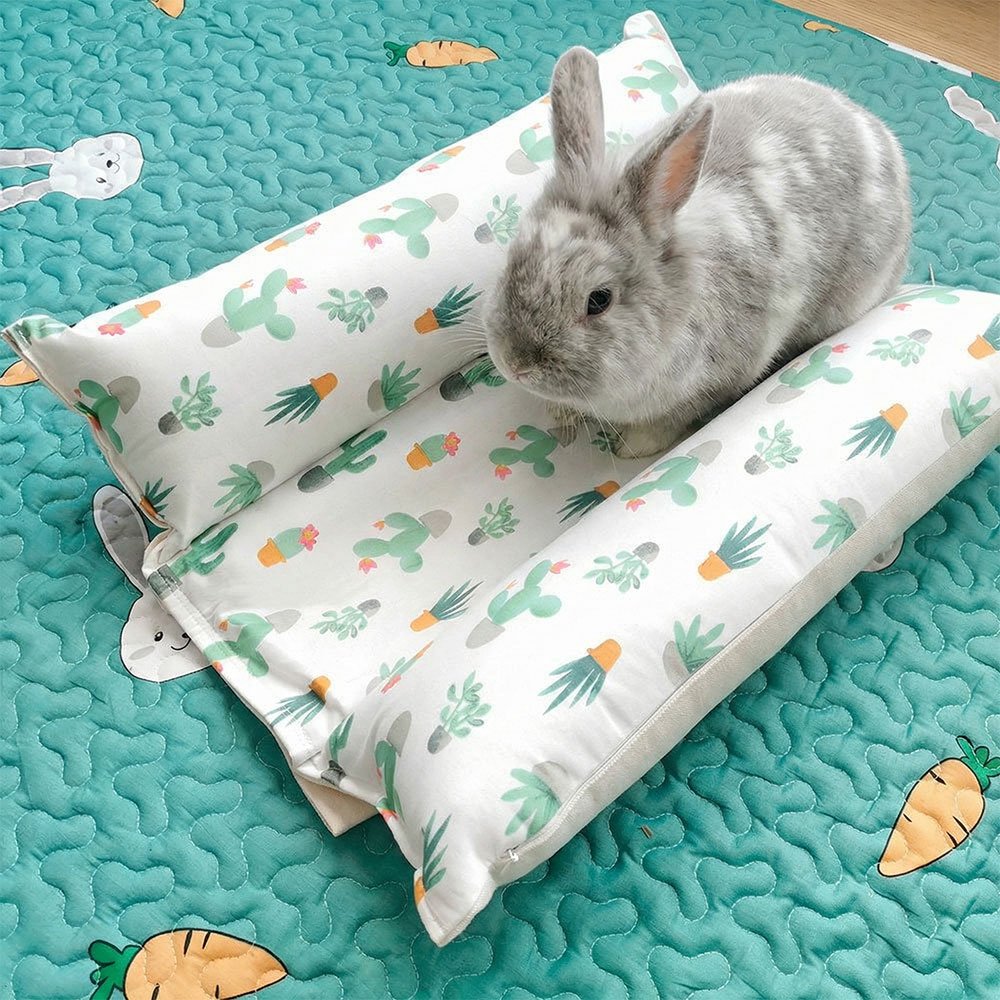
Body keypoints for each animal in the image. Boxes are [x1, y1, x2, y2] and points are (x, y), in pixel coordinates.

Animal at [485, 48, 911, 457]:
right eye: (512, 262)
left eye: (599, 300)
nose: (517, 365)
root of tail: (877, 129)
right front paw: (562, 414)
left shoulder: (719, 380)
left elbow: (673, 418)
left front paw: (635, 446)